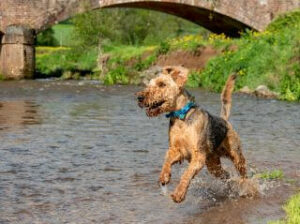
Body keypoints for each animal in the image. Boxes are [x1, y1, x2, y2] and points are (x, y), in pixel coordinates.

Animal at [136, 66, 246, 203]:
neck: (181, 117)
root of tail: (224, 119)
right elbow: (167, 160)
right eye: (149, 84)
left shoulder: (198, 155)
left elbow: (186, 174)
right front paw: (164, 177)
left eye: (162, 84)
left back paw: (245, 187)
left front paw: (178, 194)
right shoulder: (177, 150)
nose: (139, 97)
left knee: (244, 173)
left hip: (236, 154)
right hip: (213, 164)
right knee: (226, 175)